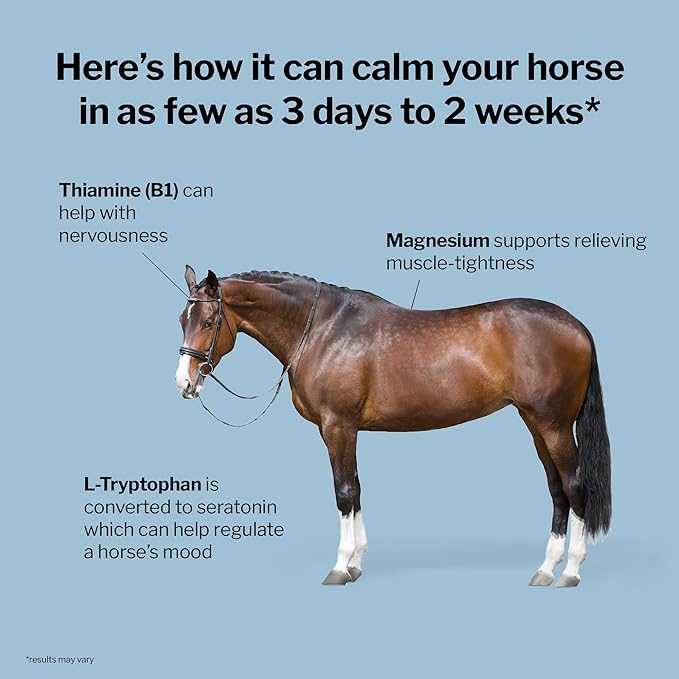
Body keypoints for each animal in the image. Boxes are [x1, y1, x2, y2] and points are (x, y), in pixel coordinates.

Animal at [175, 267, 611, 587]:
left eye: (209, 321)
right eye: (182, 319)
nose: (184, 383)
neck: (321, 329)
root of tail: (577, 326)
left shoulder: (338, 426)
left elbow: (344, 492)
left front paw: (340, 568)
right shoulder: (343, 430)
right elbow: (356, 489)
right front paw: (356, 564)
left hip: (553, 426)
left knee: (574, 486)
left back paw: (571, 572)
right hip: (535, 423)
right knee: (556, 489)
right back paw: (545, 570)